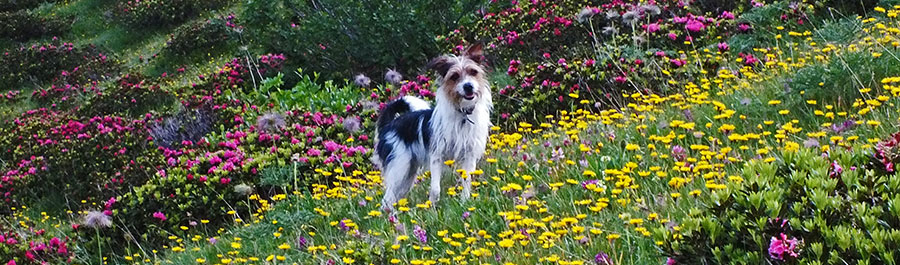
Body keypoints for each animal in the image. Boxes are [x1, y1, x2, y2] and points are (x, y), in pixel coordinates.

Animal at [374, 43, 492, 211]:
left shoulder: (469, 156)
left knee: (394, 197)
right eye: (454, 76)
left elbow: (466, 181)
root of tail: (389, 125)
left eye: (473, 72)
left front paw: (465, 202)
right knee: (387, 199)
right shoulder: (437, 156)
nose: (468, 86)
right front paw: (432, 209)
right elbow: (435, 188)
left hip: (408, 173)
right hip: (399, 166)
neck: (462, 115)